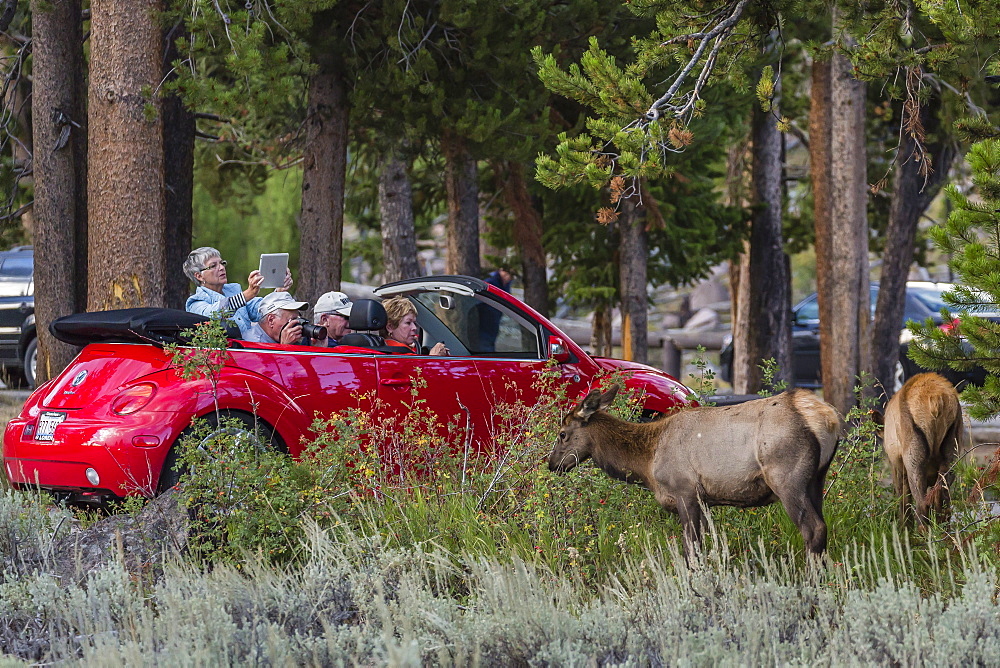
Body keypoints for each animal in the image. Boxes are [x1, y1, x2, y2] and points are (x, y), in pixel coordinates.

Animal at [552, 384, 840, 556]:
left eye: (562, 434)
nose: (552, 464)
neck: (647, 462)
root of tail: (828, 417)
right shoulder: (704, 500)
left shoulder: (685, 490)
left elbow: (691, 547)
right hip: (817, 478)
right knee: (823, 526)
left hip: (787, 477)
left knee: (813, 529)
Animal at [888, 370, 964, 528]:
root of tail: (936, 400)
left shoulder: (896, 465)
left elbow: (903, 501)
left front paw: (904, 528)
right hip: (952, 452)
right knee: (944, 503)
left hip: (914, 459)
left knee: (921, 504)